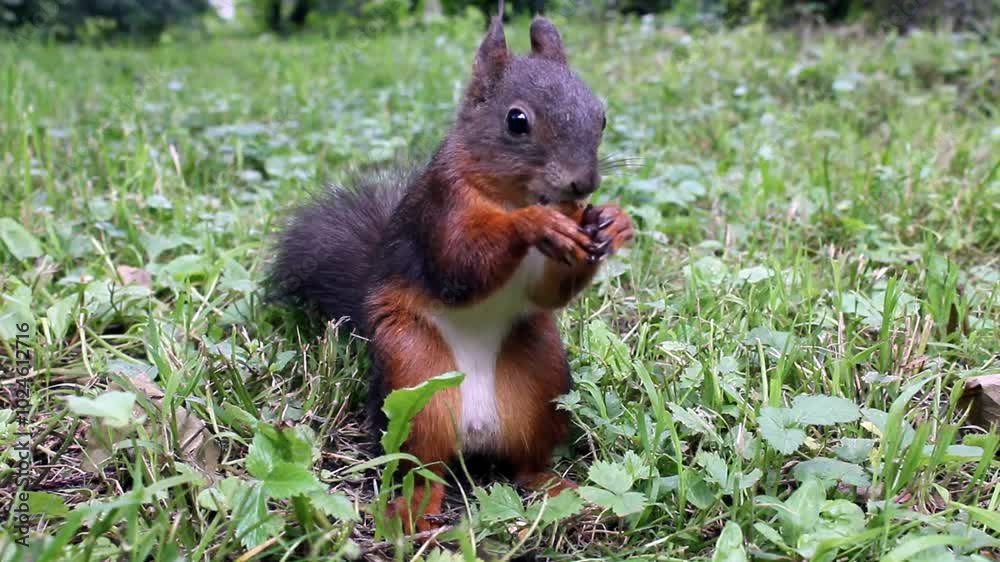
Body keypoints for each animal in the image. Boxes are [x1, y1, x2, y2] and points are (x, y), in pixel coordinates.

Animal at [269, 12, 634, 532]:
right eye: (516, 121)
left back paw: (558, 488)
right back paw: (413, 510)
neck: (513, 196)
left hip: (540, 377)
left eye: (600, 114)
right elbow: (460, 267)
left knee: (525, 464)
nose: (585, 184)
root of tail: (476, 432)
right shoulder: (440, 213)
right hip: (413, 377)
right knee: (422, 467)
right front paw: (533, 224)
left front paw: (614, 221)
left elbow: (548, 294)